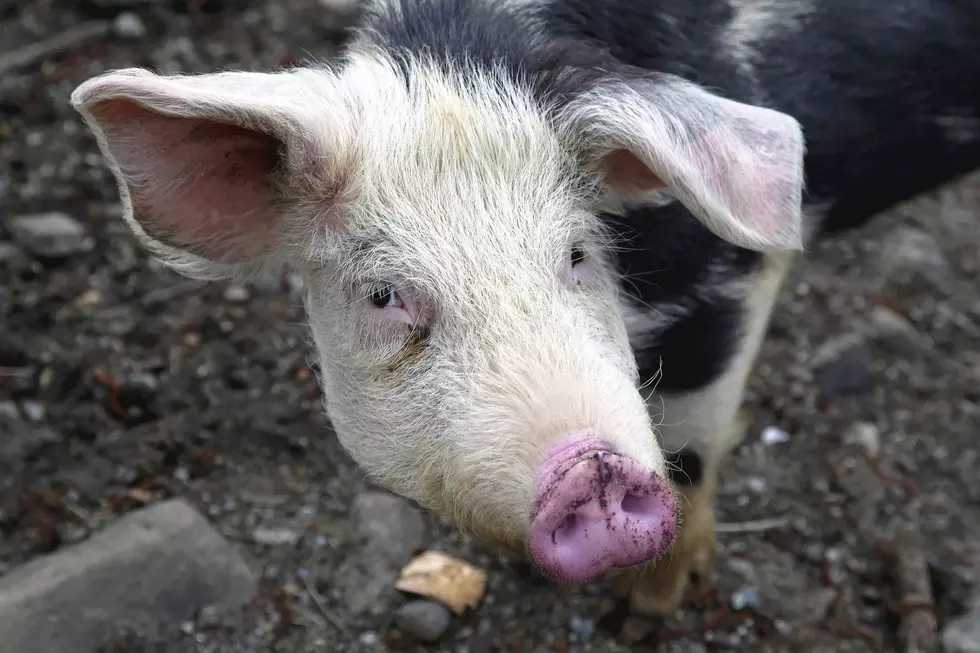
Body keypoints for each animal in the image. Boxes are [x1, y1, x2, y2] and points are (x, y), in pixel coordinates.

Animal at [70, 0, 980, 615]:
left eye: (577, 254)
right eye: (384, 294)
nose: (592, 469)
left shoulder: (726, 276)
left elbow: (691, 438)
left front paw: (650, 608)